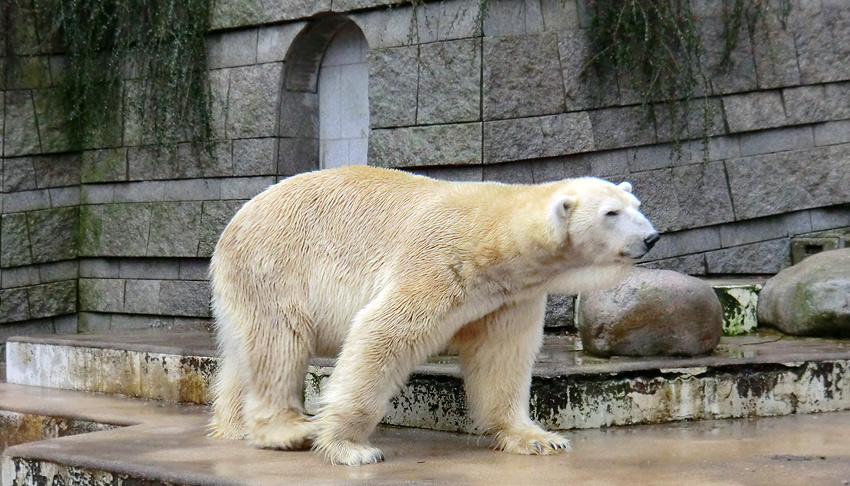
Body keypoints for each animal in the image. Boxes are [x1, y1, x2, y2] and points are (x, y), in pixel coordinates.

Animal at [209, 165, 660, 466]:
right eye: (611, 214)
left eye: (637, 205)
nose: (651, 237)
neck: (495, 238)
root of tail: (235, 221)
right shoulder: (440, 263)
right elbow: (382, 333)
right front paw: (349, 447)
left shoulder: (509, 297)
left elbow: (502, 358)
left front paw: (538, 438)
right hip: (275, 265)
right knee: (279, 344)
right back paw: (290, 430)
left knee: (246, 354)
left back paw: (232, 427)